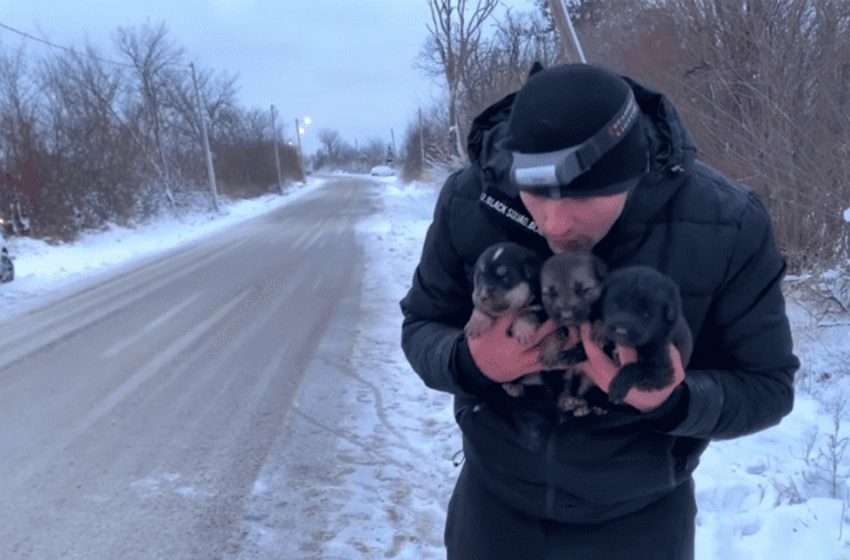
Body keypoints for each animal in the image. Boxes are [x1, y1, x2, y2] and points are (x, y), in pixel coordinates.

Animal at [592, 264, 692, 404]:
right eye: (615, 305)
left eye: (646, 314)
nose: (620, 332)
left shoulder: (665, 369)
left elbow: (635, 368)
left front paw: (618, 387)